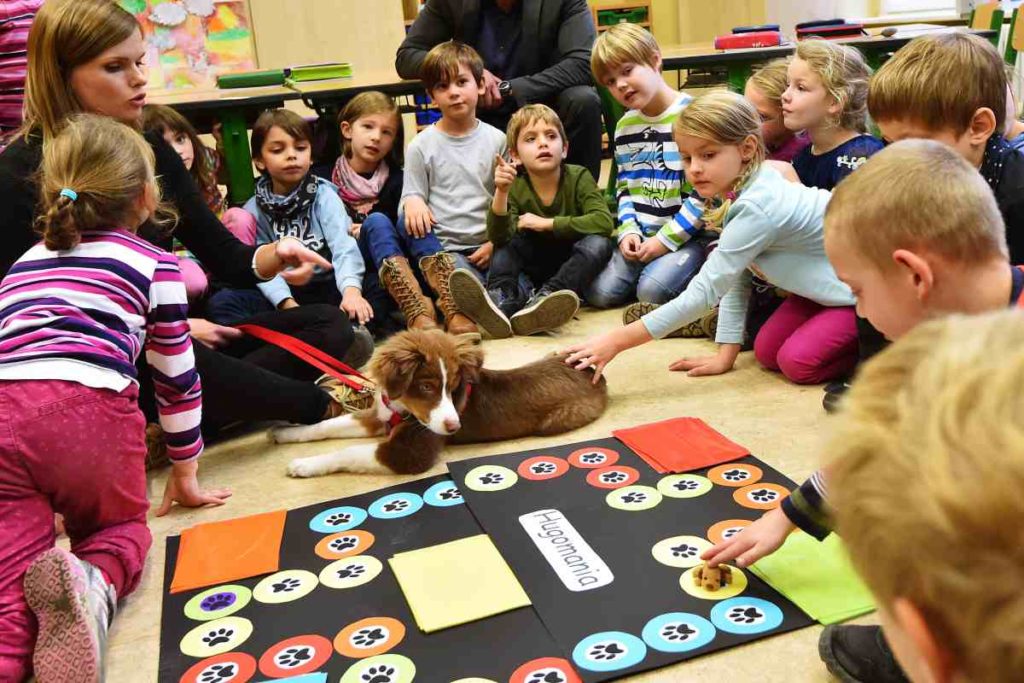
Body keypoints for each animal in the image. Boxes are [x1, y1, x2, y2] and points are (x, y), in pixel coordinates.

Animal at [274, 329, 606, 479]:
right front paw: (285, 433)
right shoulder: (379, 416)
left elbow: (348, 451)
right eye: (426, 387)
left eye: (454, 387)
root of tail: (594, 374)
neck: (402, 409)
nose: (453, 426)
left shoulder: (410, 453)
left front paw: (304, 464)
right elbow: (327, 425)